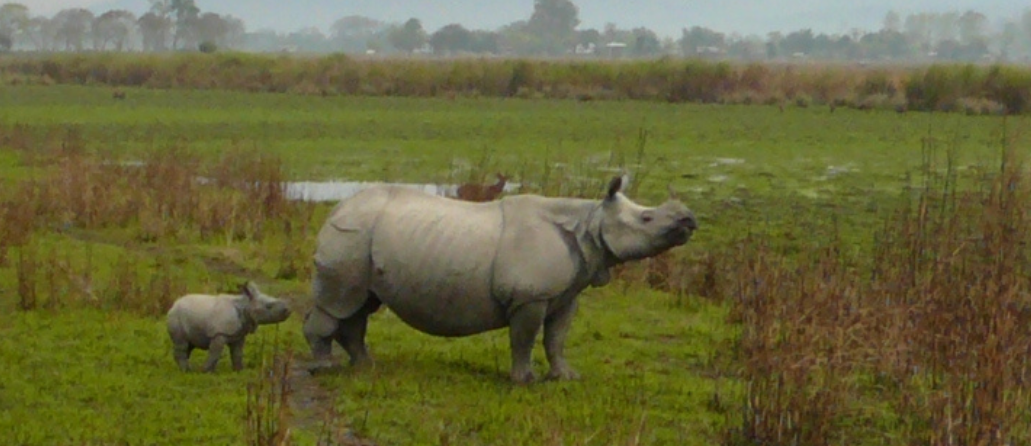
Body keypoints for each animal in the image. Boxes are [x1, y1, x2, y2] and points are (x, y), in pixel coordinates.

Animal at [301, 174, 696, 383]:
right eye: (647, 218)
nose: (689, 219)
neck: (590, 223)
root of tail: (336, 208)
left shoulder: (566, 294)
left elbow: (556, 339)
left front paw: (566, 377)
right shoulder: (529, 296)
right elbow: (524, 339)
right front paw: (524, 381)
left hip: (365, 238)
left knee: (360, 304)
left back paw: (365, 366)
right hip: (351, 233)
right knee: (338, 301)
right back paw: (324, 368)